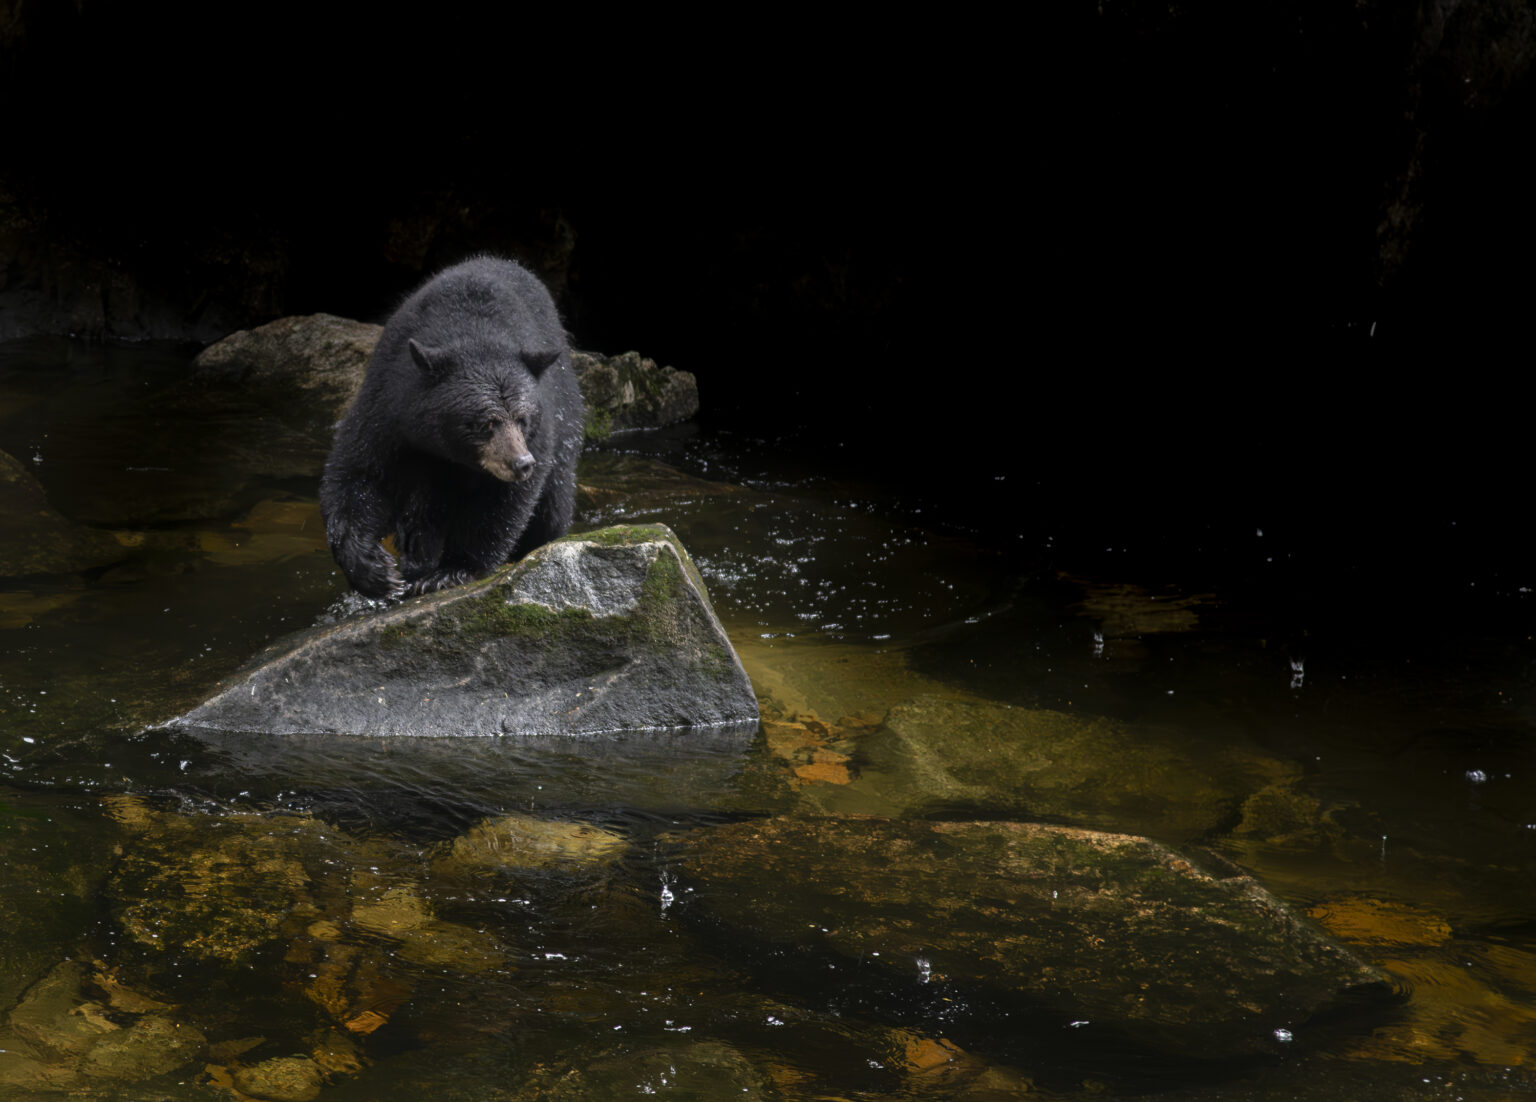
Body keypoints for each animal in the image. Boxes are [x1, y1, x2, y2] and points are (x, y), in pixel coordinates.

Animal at [319, 256, 585, 599]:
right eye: (487, 422)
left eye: (523, 419)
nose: (521, 463)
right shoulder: (386, 405)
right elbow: (359, 474)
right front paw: (373, 569)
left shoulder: (542, 428)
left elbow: (501, 504)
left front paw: (451, 571)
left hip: (568, 418)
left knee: (552, 505)